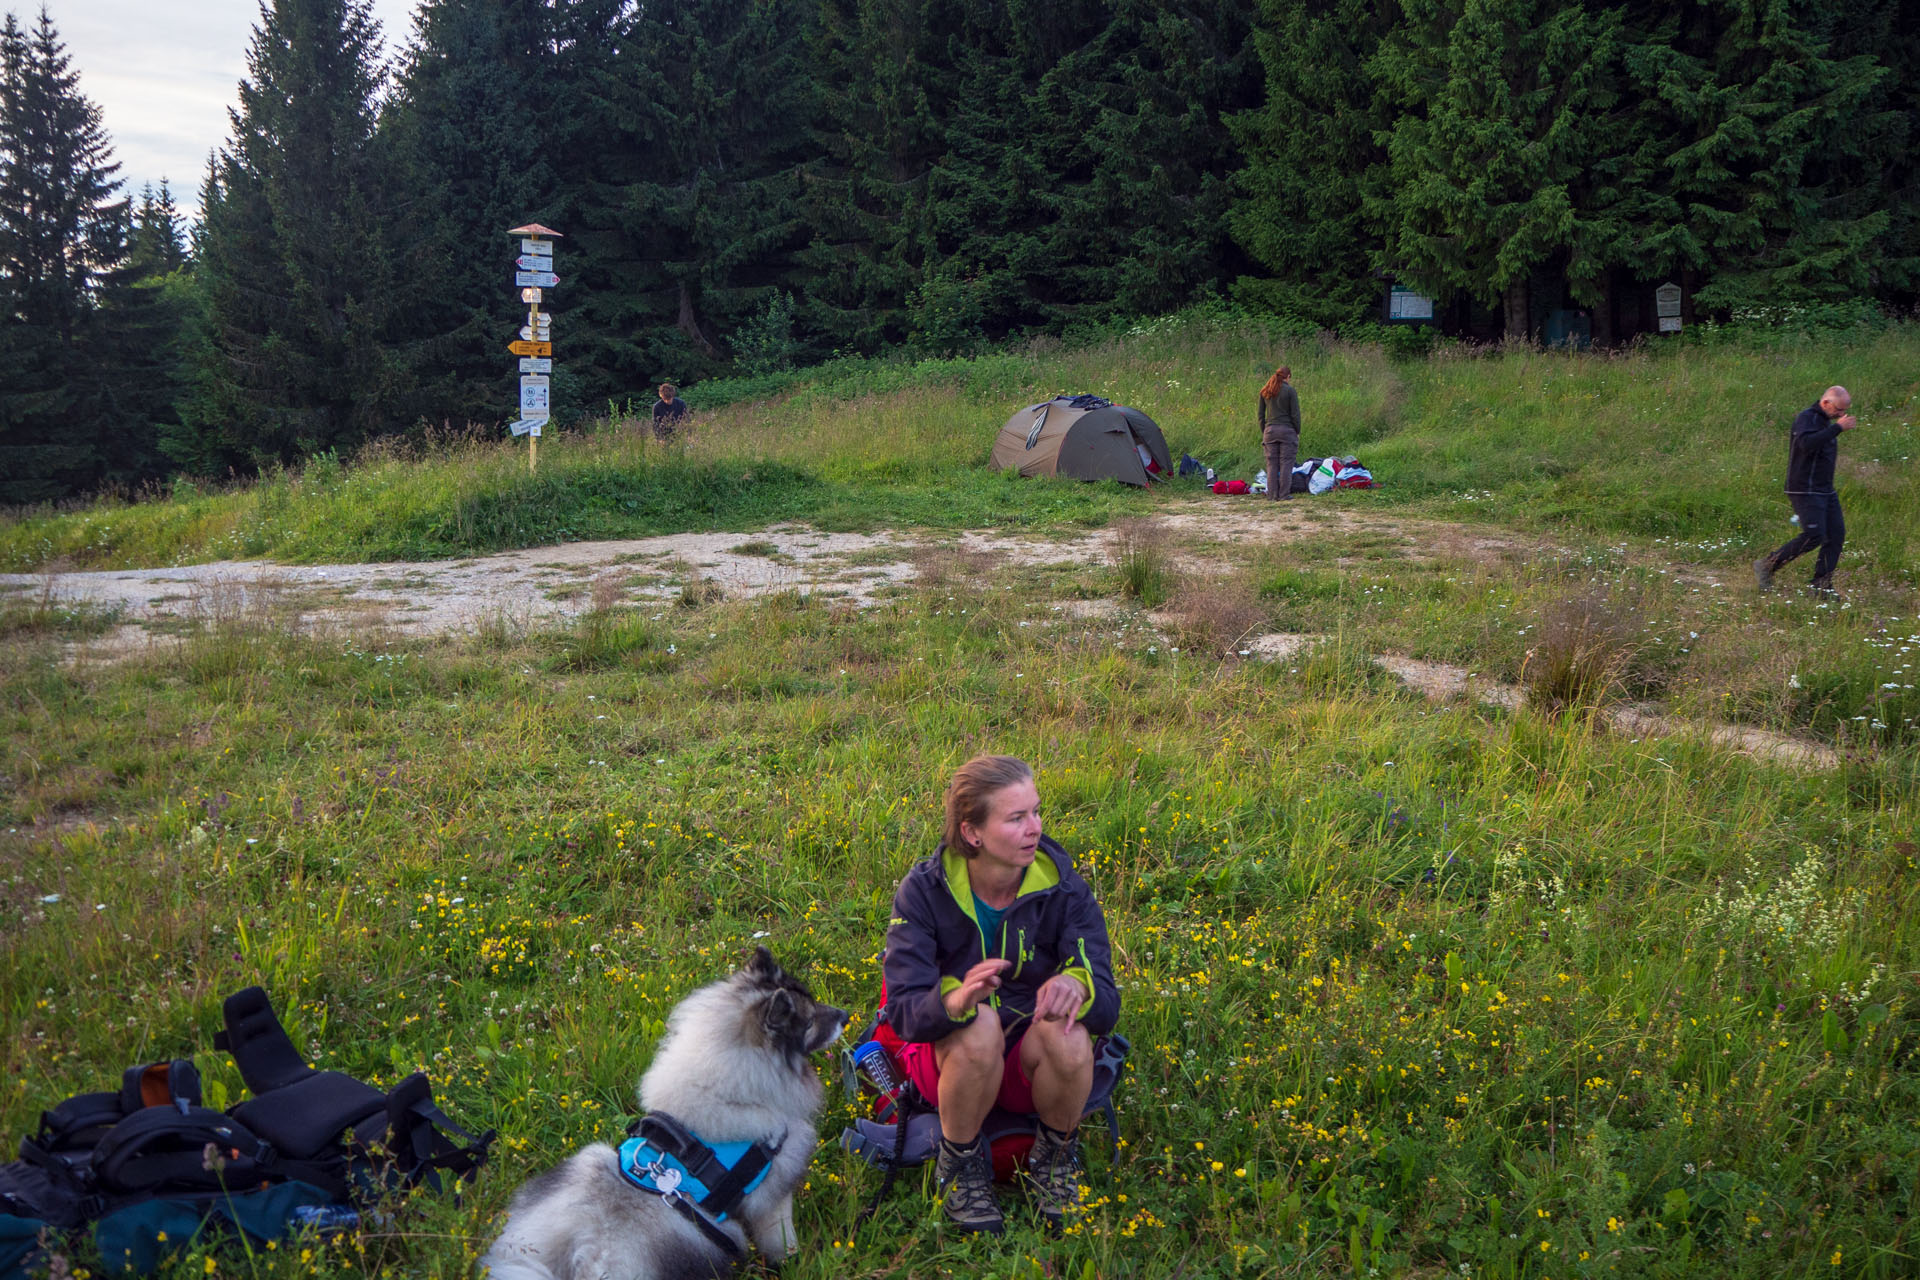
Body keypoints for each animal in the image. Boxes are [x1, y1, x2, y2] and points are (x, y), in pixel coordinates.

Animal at [480, 951, 848, 1280]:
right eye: (810, 1021)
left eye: (815, 1002)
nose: (845, 1014)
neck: (727, 1083)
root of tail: (583, 1257)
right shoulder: (774, 1196)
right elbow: (782, 1240)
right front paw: (794, 1262)